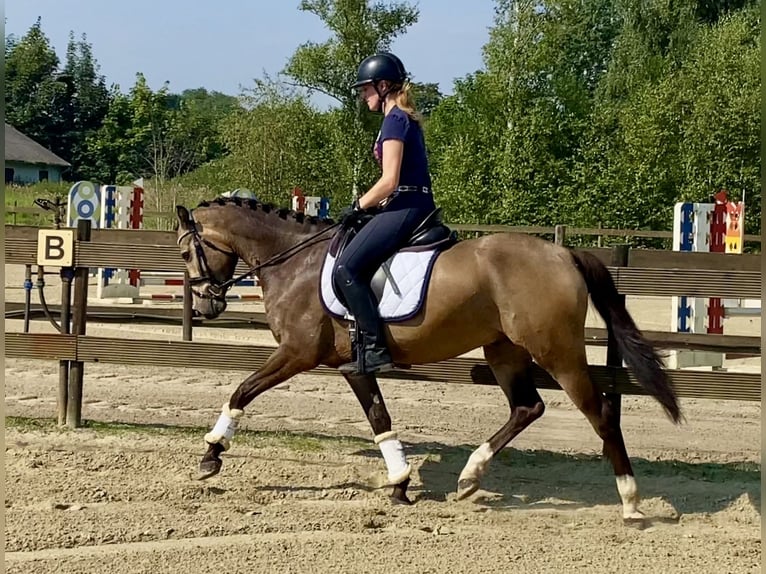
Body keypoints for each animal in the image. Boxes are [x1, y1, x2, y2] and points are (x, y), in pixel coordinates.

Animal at [176, 196, 684, 524]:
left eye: (185, 251)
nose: (206, 305)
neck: (294, 263)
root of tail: (563, 253)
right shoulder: (351, 366)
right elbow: (379, 419)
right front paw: (401, 482)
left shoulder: (297, 353)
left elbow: (242, 389)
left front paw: (211, 453)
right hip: (504, 349)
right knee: (528, 407)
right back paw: (469, 477)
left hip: (557, 352)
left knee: (600, 414)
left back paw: (631, 503)